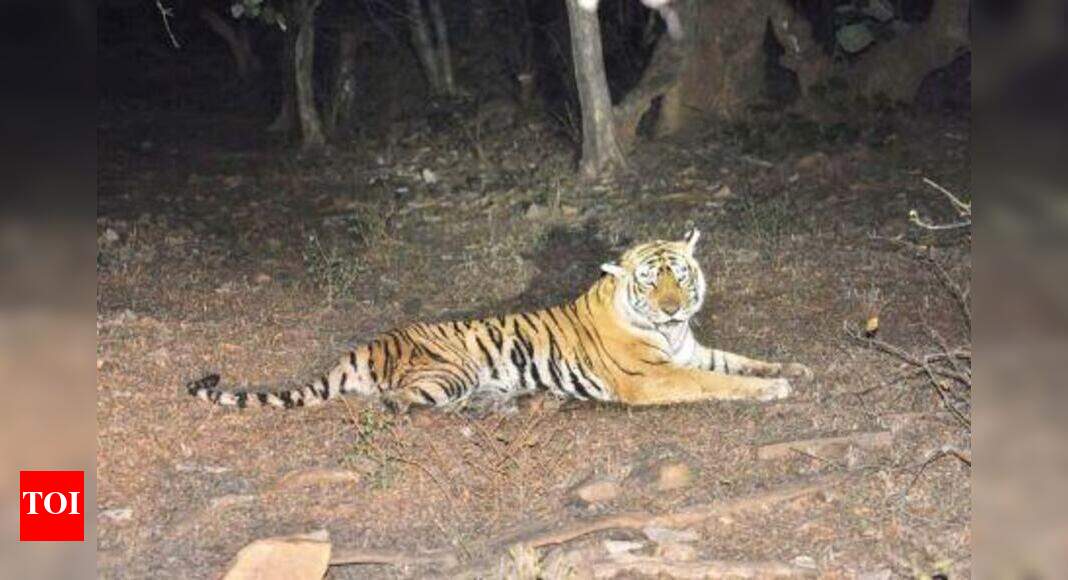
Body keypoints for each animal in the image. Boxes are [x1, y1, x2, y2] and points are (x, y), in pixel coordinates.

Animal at [187, 230, 811, 413]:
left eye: (678, 276)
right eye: (649, 282)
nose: (673, 306)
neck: (671, 333)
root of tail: (367, 345)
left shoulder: (690, 351)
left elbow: (739, 360)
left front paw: (795, 369)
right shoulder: (654, 377)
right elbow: (717, 382)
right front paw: (773, 389)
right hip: (450, 372)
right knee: (393, 403)